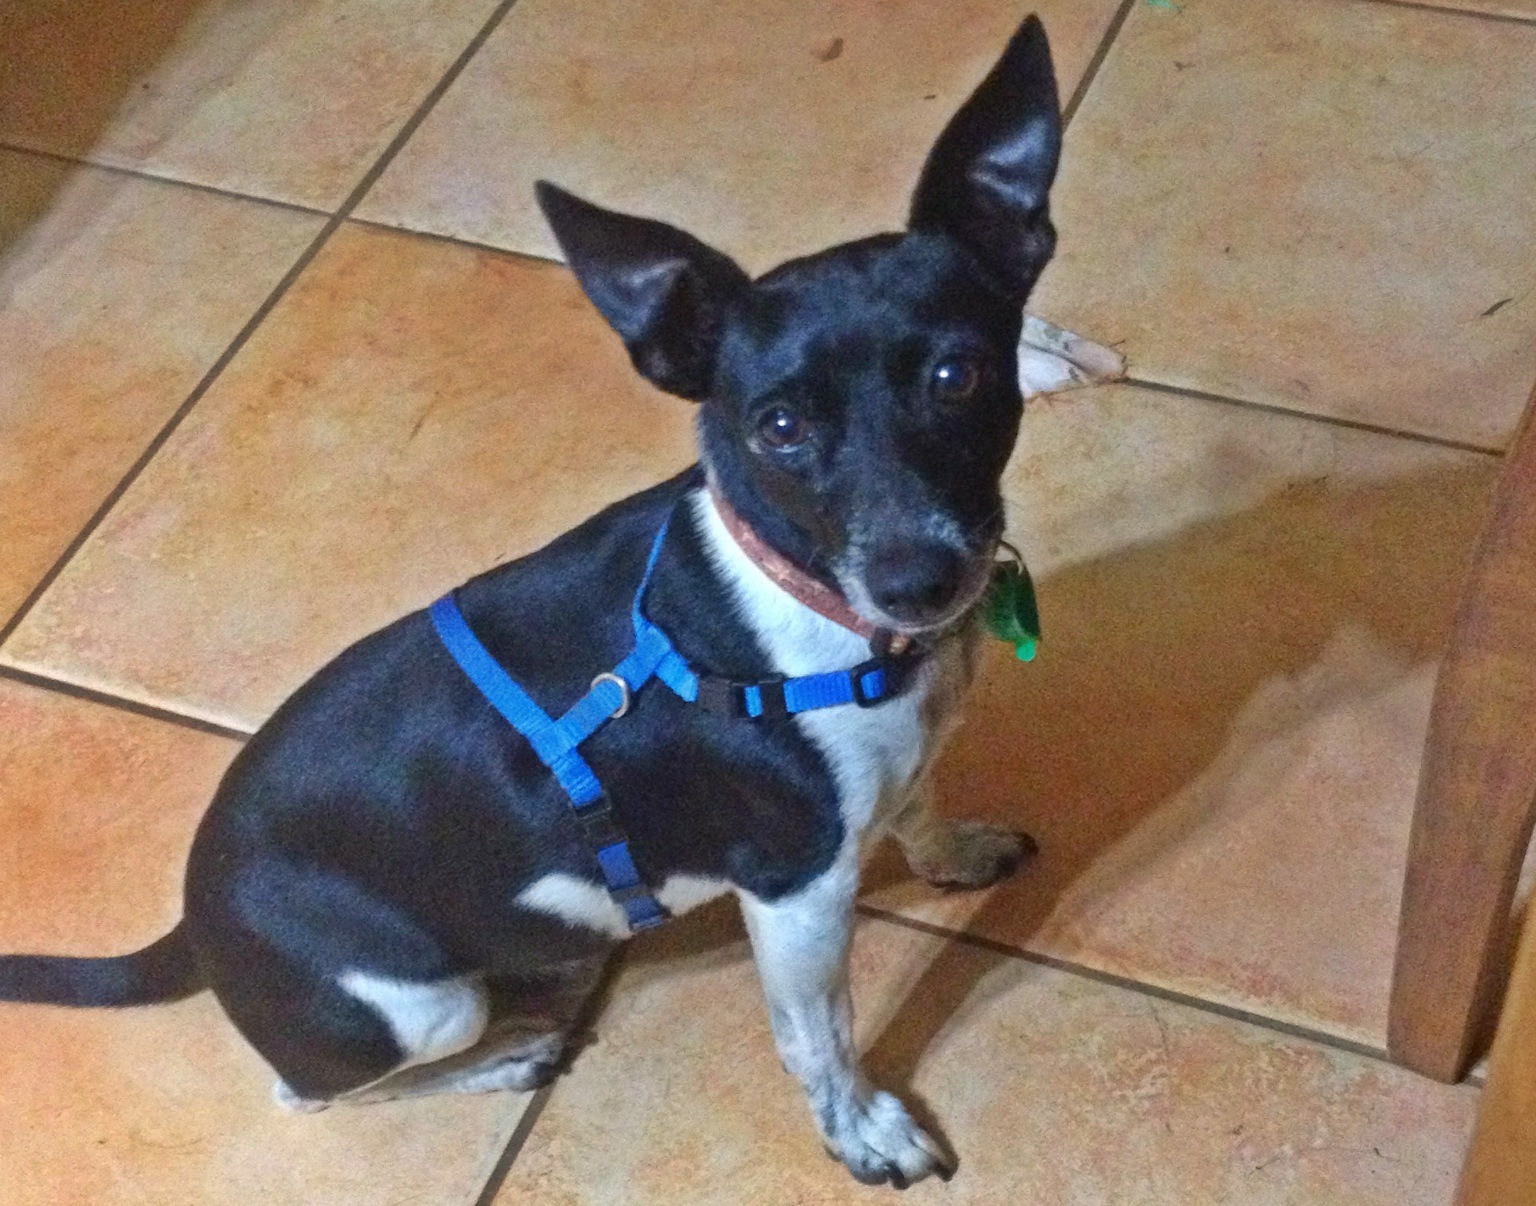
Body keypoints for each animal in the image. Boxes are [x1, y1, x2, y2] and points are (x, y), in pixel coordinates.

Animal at [0, 14, 1061, 1189]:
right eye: (778, 427)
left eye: (959, 377)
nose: (922, 580)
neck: (812, 606)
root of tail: (193, 918)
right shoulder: (797, 897)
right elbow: (819, 1040)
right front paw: (865, 1130)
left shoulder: (893, 774)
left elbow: (919, 805)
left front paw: (954, 855)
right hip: (416, 1009)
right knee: (312, 1092)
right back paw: (511, 1053)